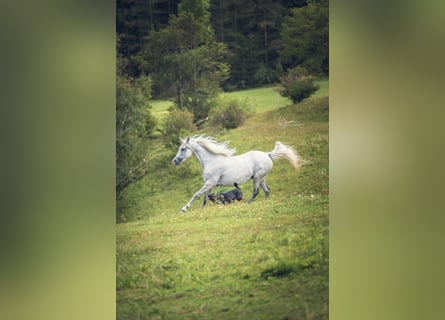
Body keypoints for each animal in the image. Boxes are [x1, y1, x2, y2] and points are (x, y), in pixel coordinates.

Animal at [170, 135, 302, 212]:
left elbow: (196, 195)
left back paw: (247, 203)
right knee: (267, 190)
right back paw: (266, 203)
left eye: (183, 149)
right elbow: (205, 199)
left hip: (257, 178)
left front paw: (184, 209)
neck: (211, 161)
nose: (175, 161)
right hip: (261, 178)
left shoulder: (210, 183)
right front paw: (203, 210)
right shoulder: (209, 184)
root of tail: (267, 154)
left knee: (256, 191)